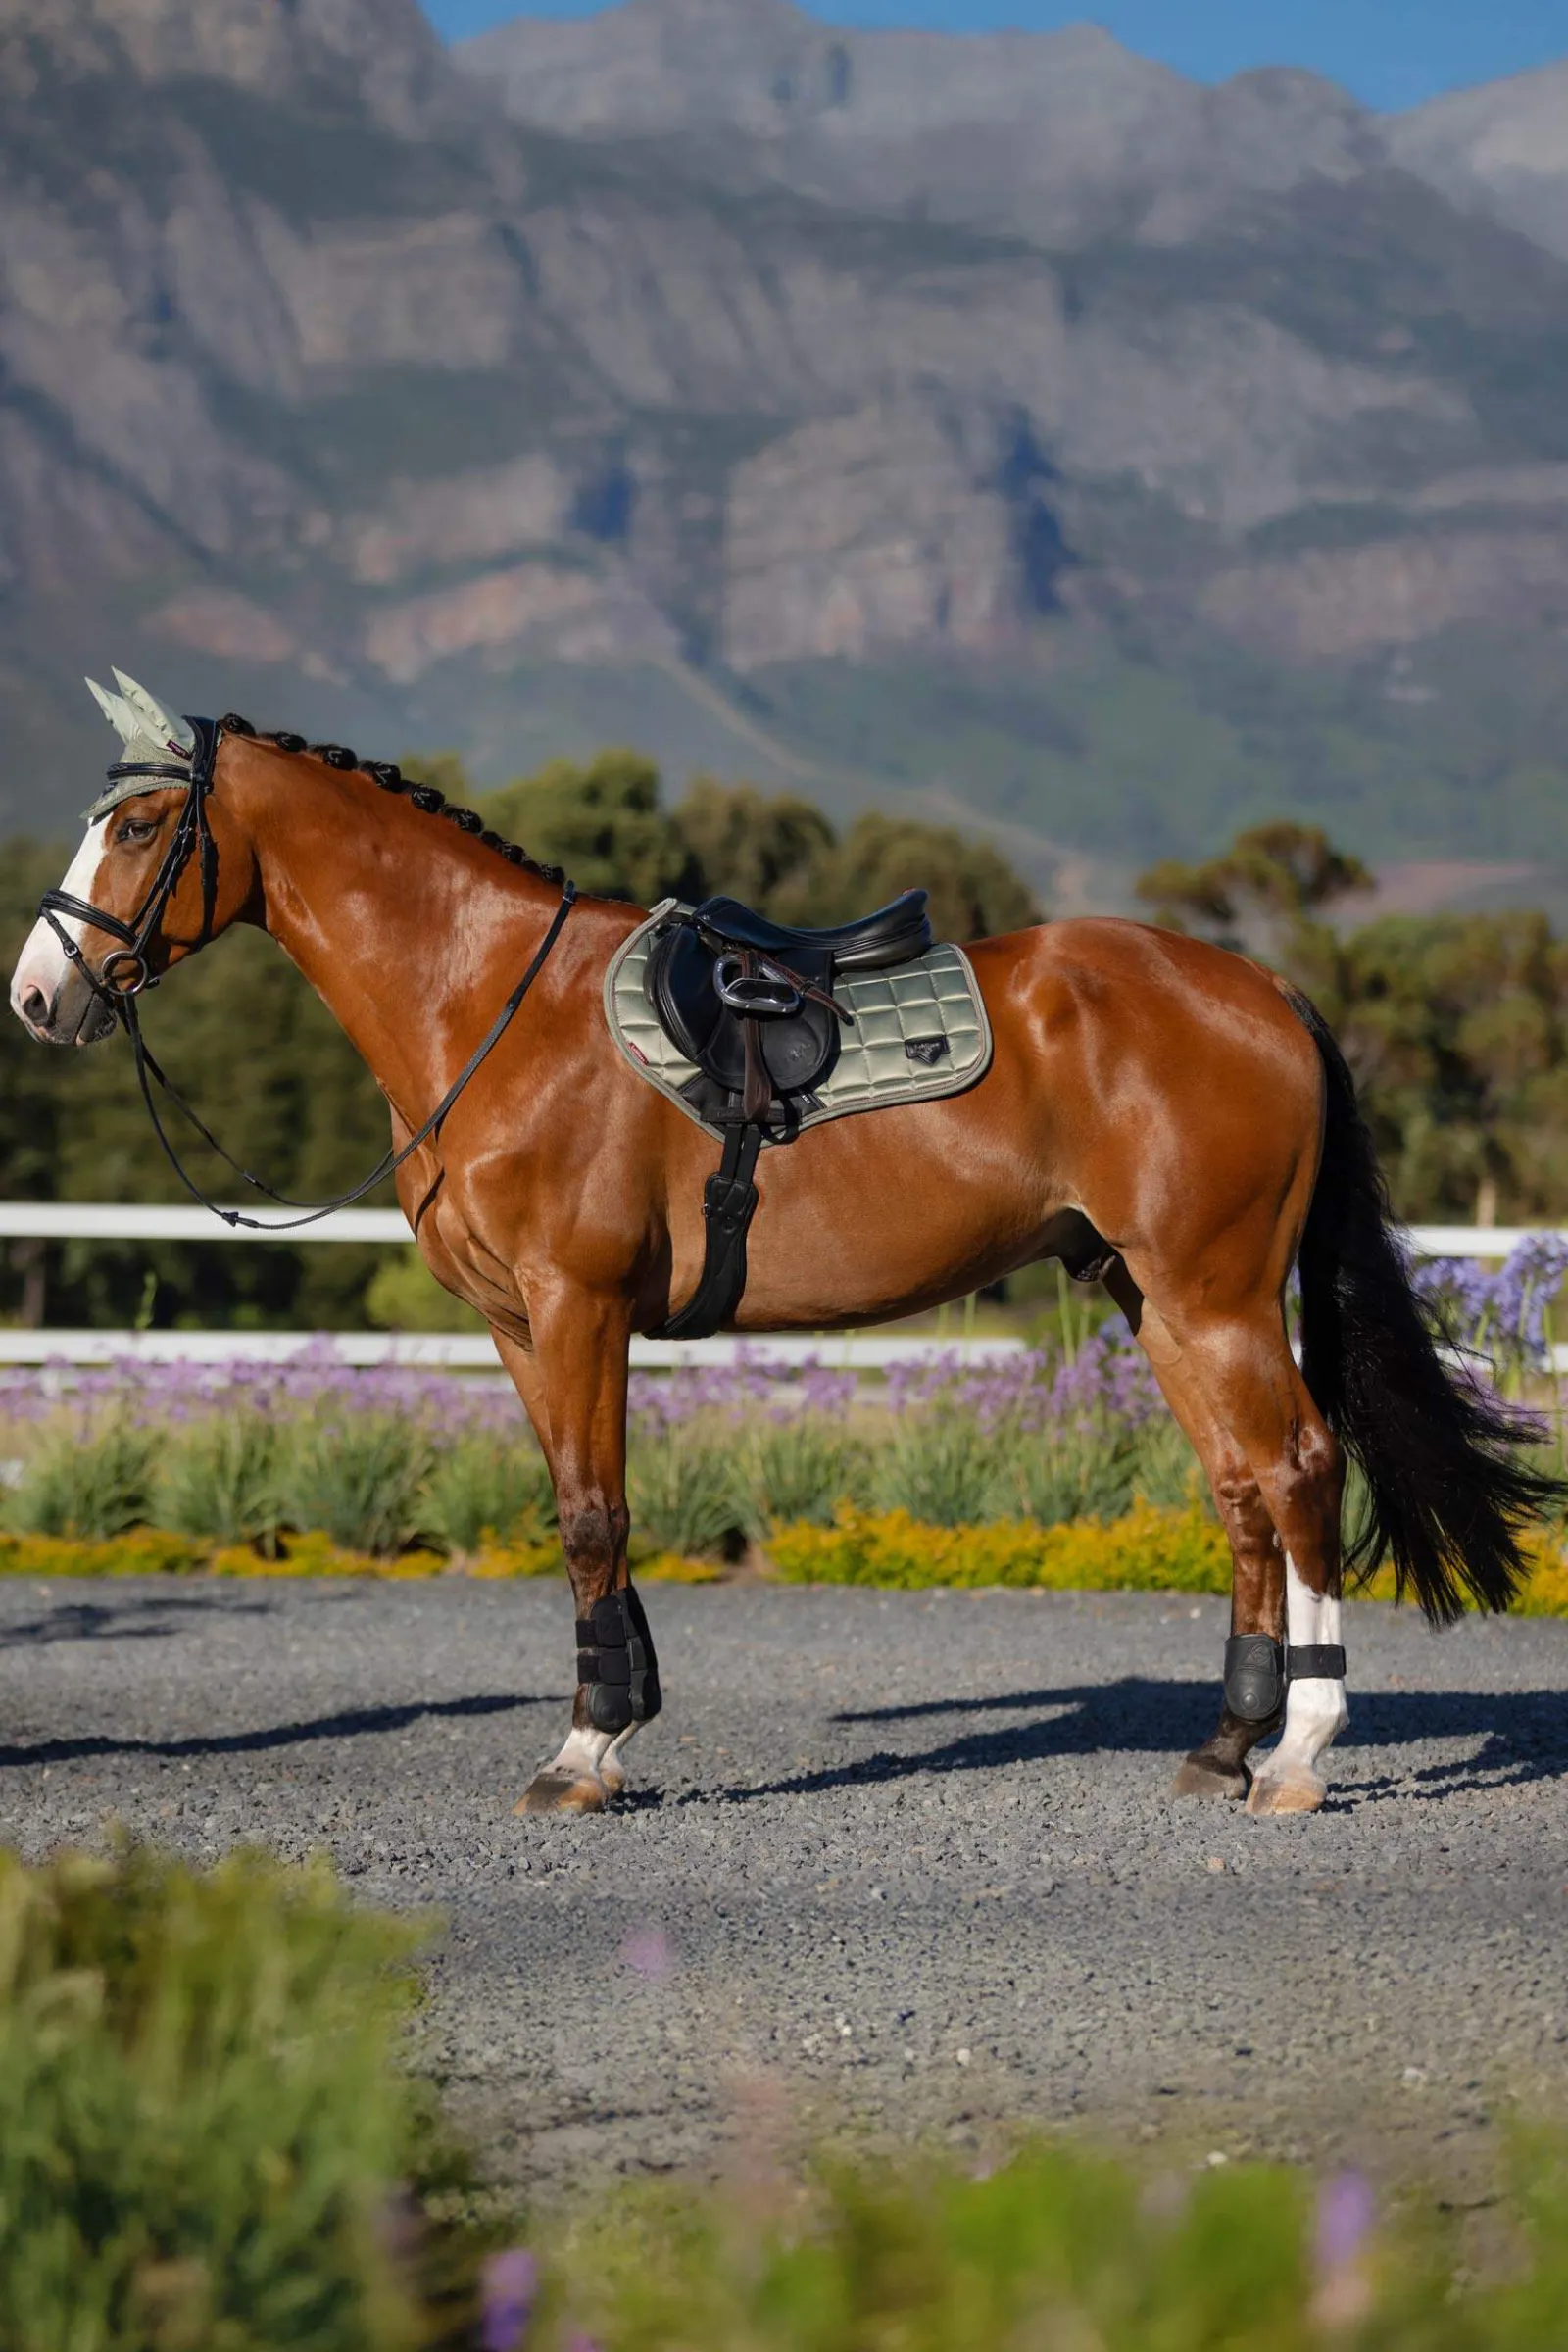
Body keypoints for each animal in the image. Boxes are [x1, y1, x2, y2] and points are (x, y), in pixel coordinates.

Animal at [10, 679, 1555, 1818]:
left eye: (141, 829)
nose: (37, 996)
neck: (496, 1010)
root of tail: (1265, 991)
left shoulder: (580, 1307)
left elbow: (594, 1516)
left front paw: (586, 1755)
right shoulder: (518, 1326)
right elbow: (578, 1508)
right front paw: (616, 1720)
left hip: (1214, 1290)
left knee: (1296, 1468)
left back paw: (1298, 1756)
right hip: (1153, 1297)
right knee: (1240, 1486)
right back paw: (1225, 1747)